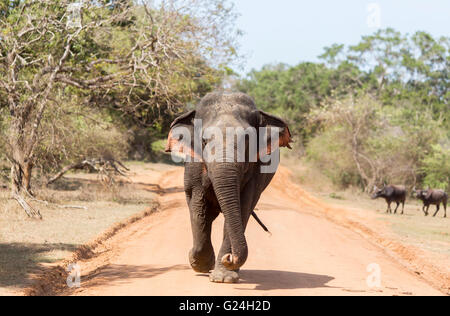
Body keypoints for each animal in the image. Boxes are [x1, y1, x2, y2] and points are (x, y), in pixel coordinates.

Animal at [165, 92, 292, 284]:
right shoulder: (194, 166)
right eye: (204, 141)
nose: (230, 258)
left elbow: (243, 206)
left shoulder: (256, 171)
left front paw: (223, 276)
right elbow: (198, 207)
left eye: (247, 140)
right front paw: (200, 265)